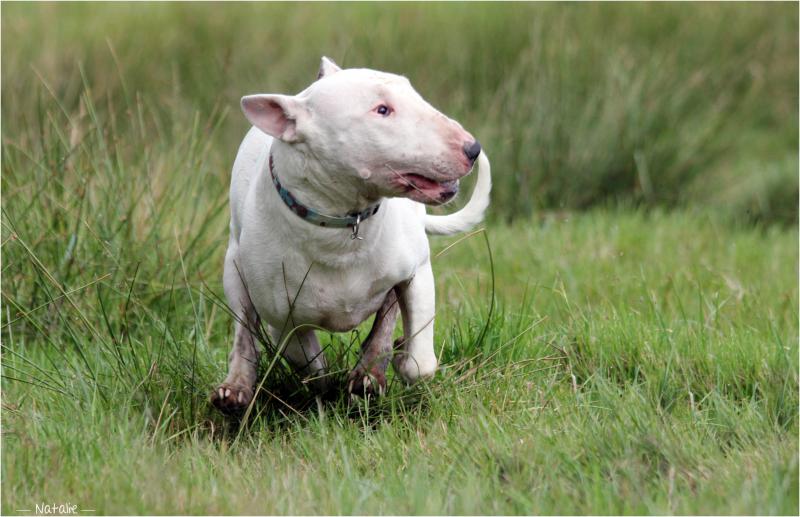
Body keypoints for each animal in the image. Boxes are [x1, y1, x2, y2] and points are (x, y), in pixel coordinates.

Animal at [209, 57, 490, 412]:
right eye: (382, 110)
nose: (473, 148)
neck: (345, 226)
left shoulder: (418, 271)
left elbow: (420, 363)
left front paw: (395, 361)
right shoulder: (281, 315)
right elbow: (309, 362)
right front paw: (327, 389)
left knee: (388, 311)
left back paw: (371, 371)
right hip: (234, 269)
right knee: (244, 328)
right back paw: (236, 389)